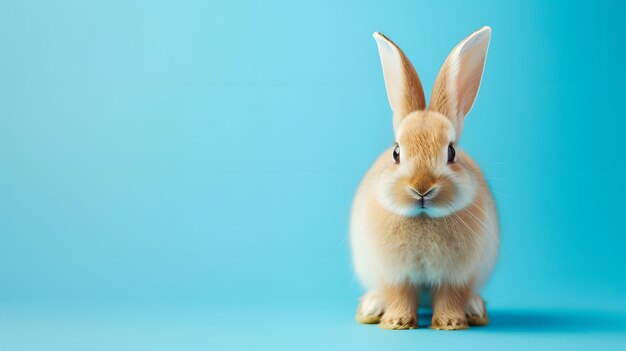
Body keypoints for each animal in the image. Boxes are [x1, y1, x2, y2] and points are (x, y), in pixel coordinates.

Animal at [348, 26, 500, 332]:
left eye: (452, 152)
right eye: (396, 152)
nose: (421, 188)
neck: (424, 219)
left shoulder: (457, 276)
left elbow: (452, 296)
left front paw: (451, 323)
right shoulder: (394, 274)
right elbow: (399, 295)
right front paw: (396, 322)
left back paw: (475, 309)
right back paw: (372, 307)